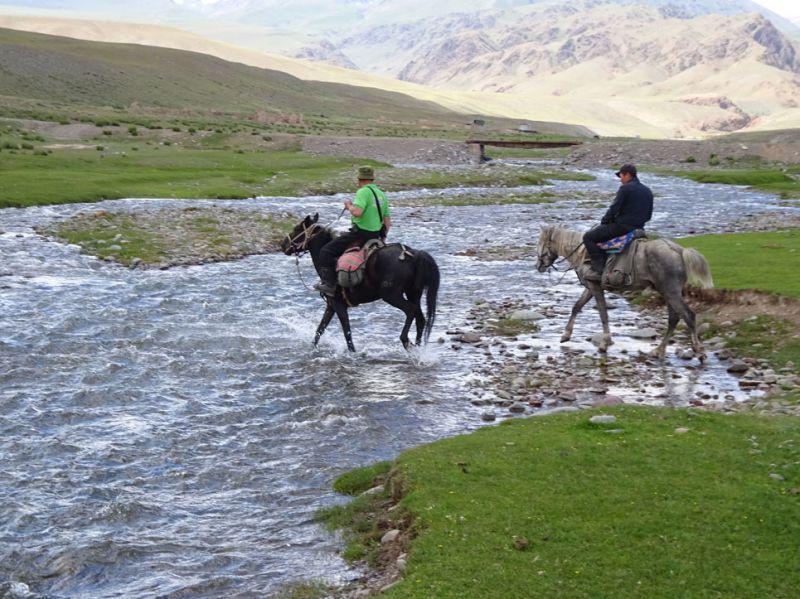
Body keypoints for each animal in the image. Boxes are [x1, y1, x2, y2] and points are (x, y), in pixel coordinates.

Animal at [282, 214, 440, 352]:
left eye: (297, 228)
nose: (283, 244)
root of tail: (413, 254)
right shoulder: (331, 305)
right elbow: (319, 331)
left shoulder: (338, 305)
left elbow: (347, 334)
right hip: (413, 293)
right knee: (420, 319)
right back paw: (419, 349)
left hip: (392, 295)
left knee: (411, 311)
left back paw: (406, 341)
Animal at [536, 227, 712, 360]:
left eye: (541, 243)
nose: (538, 266)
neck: (583, 253)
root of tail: (679, 250)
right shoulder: (590, 288)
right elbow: (576, 306)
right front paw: (566, 335)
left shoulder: (595, 287)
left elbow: (603, 313)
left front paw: (604, 343)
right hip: (668, 292)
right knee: (674, 318)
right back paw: (658, 351)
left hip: (671, 292)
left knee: (688, 315)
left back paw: (698, 350)